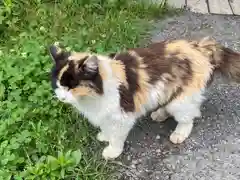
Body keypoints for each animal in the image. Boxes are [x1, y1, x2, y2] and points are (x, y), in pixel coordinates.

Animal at [48, 36, 240, 159]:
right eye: (58, 85)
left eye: (72, 87)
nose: (62, 97)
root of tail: (201, 47)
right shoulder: (106, 113)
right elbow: (107, 127)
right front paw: (105, 135)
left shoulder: (122, 115)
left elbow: (117, 136)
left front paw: (112, 151)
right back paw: (159, 114)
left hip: (182, 100)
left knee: (188, 117)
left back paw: (179, 133)